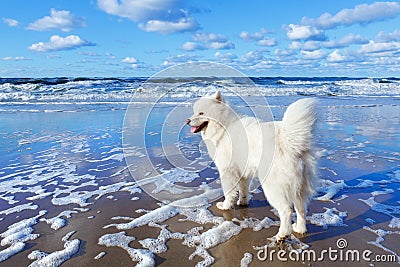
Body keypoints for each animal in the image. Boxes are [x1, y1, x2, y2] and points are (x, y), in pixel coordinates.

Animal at [188, 91, 318, 241]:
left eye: (201, 113)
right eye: (194, 112)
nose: (187, 120)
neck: (224, 126)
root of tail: (289, 141)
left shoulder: (227, 172)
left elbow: (228, 192)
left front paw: (225, 206)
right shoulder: (243, 173)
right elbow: (243, 190)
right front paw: (242, 202)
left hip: (274, 187)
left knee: (286, 211)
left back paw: (282, 234)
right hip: (299, 187)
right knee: (301, 209)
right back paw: (299, 228)